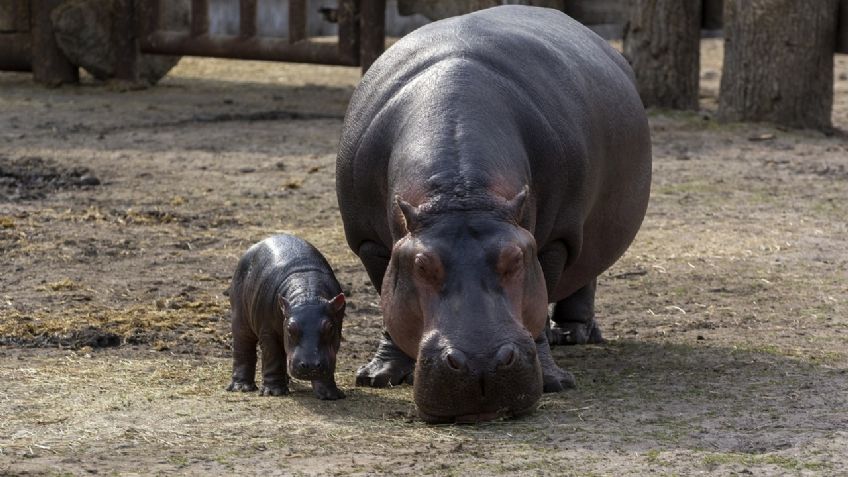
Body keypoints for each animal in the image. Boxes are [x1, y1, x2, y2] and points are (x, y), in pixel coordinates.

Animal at [225, 233, 348, 398]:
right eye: (290, 328)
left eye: (329, 328)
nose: (310, 365)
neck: (308, 294)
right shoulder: (268, 331)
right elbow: (273, 357)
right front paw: (273, 392)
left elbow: (329, 359)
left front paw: (330, 395)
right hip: (240, 318)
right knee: (243, 349)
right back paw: (241, 387)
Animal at [334, 5, 652, 422]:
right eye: (421, 264)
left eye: (515, 258)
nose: (480, 364)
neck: (462, 193)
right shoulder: (369, 241)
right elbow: (387, 302)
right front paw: (378, 376)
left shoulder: (555, 240)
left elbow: (540, 302)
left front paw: (554, 382)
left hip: (587, 229)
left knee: (586, 275)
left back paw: (572, 335)